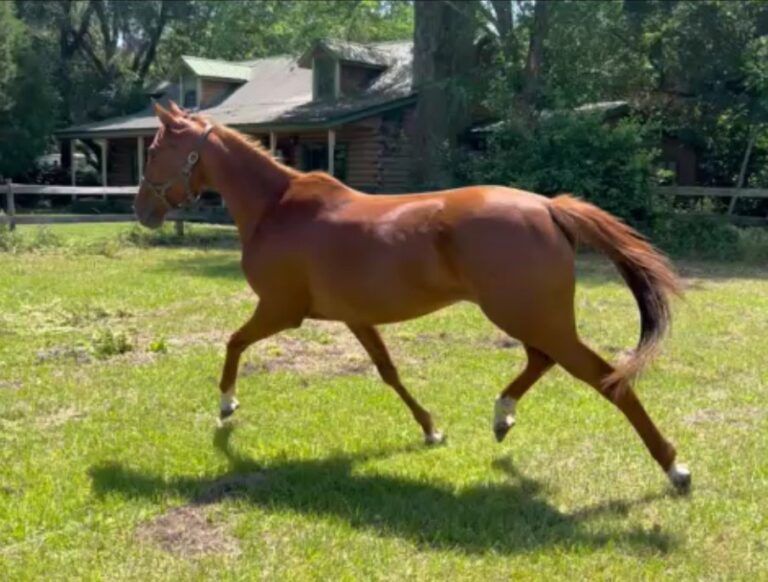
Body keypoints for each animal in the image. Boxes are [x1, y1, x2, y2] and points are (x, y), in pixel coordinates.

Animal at [135, 101, 690, 493]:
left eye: (154, 151)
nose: (142, 210)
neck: (277, 208)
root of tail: (547, 207)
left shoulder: (281, 310)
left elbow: (233, 342)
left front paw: (227, 404)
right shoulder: (355, 318)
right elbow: (389, 371)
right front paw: (431, 430)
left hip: (530, 315)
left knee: (606, 378)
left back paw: (675, 468)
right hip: (531, 316)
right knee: (543, 360)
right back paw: (502, 416)